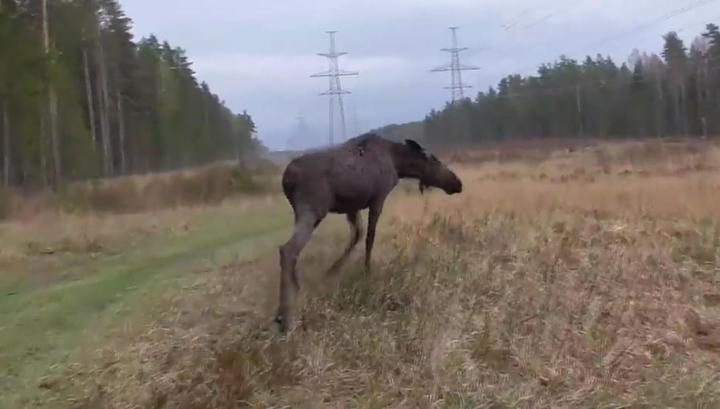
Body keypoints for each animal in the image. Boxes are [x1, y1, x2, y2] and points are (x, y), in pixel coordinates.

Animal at [272, 132, 464, 334]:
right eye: (435, 159)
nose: (457, 183)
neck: (398, 164)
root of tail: (287, 178)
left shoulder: (352, 206)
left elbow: (357, 235)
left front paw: (331, 272)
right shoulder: (378, 198)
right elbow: (369, 238)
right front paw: (367, 273)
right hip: (313, 209)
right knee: (288, 249)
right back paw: (285, 316)